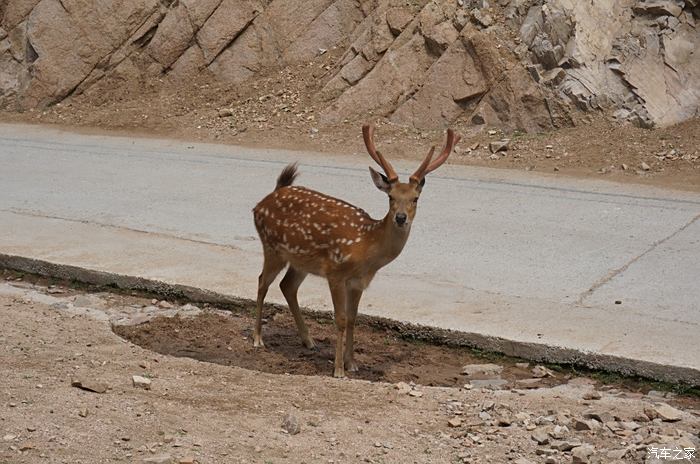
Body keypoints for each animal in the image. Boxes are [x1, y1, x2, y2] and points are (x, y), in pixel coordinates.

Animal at [252, 126, 460, 376]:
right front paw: (338, 370)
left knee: (287, 286)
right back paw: (258, 339)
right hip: (272, 247)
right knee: (262, 282)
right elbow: (340, 319)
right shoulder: (335, 272)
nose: (401, 218)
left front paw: (352, 363)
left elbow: (352, 319)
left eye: (415, 199)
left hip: (300, 260)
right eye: (391, 197)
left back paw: (309, 341)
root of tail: (262, 203)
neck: (366, 248)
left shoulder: (358, 281)